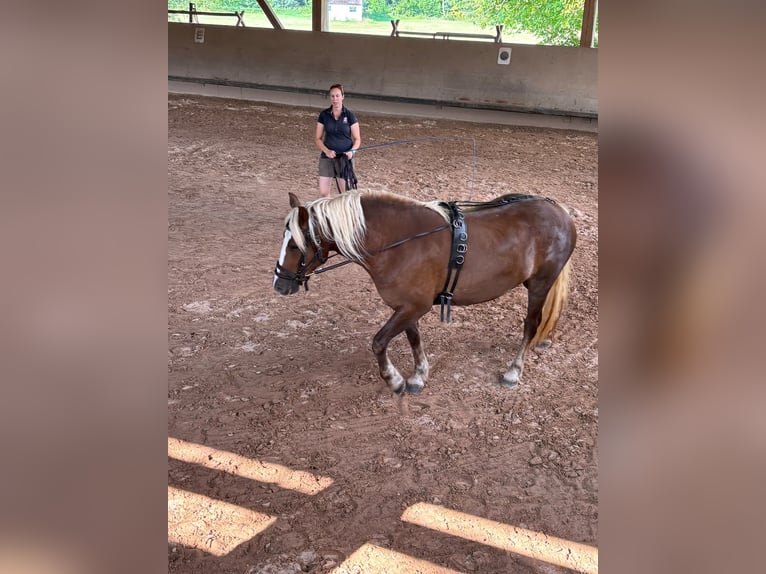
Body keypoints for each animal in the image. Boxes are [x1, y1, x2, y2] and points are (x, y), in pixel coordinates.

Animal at [273, 190, 576, 394]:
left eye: (295, 245)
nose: (280, 284)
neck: (399, 243)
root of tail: (559, 211)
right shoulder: (407, 307)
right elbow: (413, 338)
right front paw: (419, 375)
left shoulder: (414, 307)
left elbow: (379, 342)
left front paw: (394, 379)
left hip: (540, 283)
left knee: (531, 323)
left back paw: (514, 370)